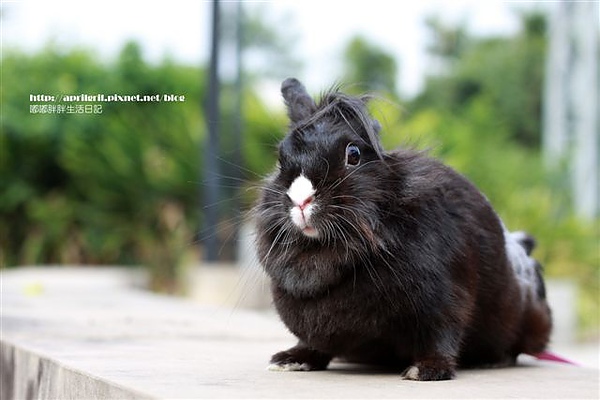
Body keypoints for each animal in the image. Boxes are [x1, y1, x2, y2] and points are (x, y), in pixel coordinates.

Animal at [254, 78, 552, 381]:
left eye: (353, 154)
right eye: (281, 160)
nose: (301, 200)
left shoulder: (446, 303)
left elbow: (443, 336)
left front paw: (426, 370)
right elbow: (311, 343)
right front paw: (290, 360)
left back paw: (492, 361)